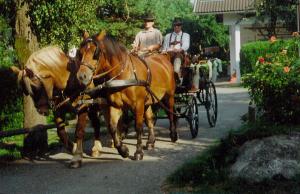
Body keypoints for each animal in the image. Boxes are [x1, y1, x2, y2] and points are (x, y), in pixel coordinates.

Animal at [75, 31, 178, 161]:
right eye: (80, 52)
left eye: (95, 53)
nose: (81, 76)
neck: (123, 75)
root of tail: (164, 58)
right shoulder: (115, 105)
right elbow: (112, 127)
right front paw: (123, 150)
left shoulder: (138, 105)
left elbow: (138, 127)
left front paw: (138, 152)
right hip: (148, 101)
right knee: (150, 119)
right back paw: (150, 142)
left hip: (169, 96)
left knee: (170, 114)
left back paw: (173, 135)